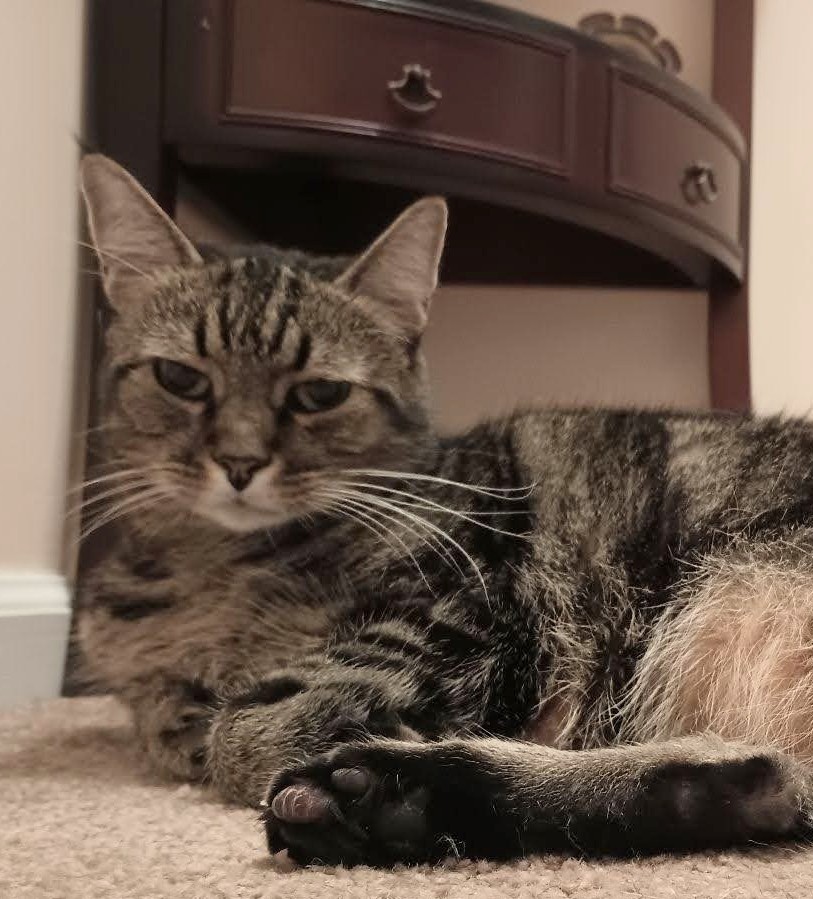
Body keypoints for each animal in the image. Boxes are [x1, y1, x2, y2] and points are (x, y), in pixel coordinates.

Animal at [76, 155, 812, 864]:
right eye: (180, 378)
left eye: (320, 393)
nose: (238, 462)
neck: (218, 566)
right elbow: (173, 721)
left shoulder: (464, 611)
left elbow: (245, 733)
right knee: (773, 785)